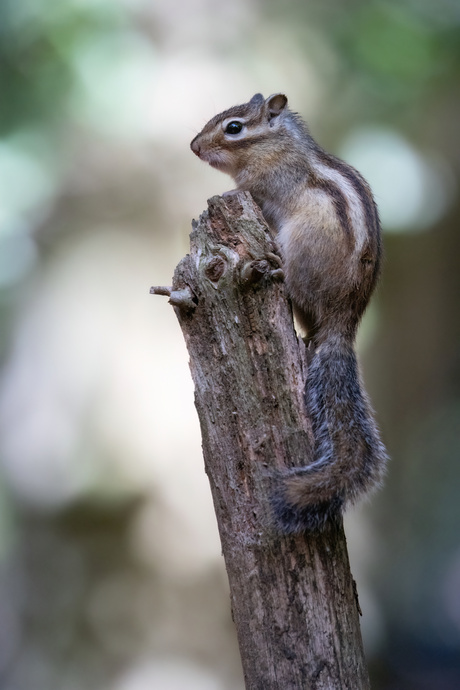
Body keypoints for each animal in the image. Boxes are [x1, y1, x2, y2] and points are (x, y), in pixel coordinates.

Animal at [189, 91, 386, 532]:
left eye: (234, 127)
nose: (194, 147)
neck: (277, 146)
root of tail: (342, 322)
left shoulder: (268, 181)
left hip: (301, 246)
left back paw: (277, 269)